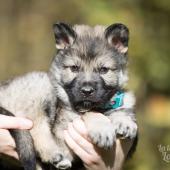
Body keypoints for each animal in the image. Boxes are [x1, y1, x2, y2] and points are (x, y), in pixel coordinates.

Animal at [0, 22, 137, 170]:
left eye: (104, 70)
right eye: (74, 68)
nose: (87, 91)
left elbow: (121, 110)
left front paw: (125, 121)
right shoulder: (64, 126)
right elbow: (88, 112)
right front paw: (102, 128)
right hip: (40, 85)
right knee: (36, 129)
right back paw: (55, 155)